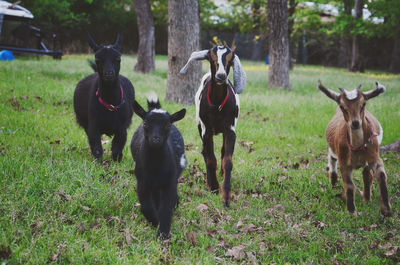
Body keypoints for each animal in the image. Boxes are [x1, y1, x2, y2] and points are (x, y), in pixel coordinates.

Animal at [72, 33, 134, 161]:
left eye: (118, 59)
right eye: (97, 59)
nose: (109, 74)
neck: (110, 103)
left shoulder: (122, 128)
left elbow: (117, 148)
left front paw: (117, 160)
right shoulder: (93, 126)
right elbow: (97, 148)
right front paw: (98, 162)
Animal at [180, 44, 245, 206]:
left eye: (230, 59)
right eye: (211, 57)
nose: (221, 76)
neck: (217, 104)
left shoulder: (230, 130)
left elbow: (227, 160)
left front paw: (226, 196)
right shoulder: (206, 130)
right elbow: (210, 159)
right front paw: (214, 186)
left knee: (221, 151)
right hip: (200, 126)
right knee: (205, 152)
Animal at [318, 79, 392, 216]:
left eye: (363, 104)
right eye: (342, 106)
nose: (355, 123)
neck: (357, 148)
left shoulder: (375, 157)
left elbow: (381, 175)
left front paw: (386, 211)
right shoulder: (344, 162)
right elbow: (349, 185)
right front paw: (352, 212)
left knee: (366, 174)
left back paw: (367, 198)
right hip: (334, 150)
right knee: (331, 157)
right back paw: (333, 182)